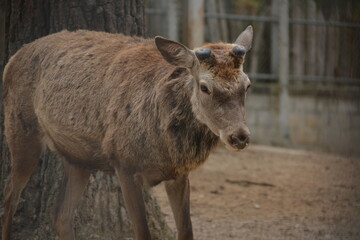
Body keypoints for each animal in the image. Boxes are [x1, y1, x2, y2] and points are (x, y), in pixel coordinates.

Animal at [1, 25, 253, 239]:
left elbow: (186, 232)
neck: (165, 146)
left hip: (78, 158)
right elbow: (142, 232)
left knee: (60, 214)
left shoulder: (179, 174)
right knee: (9, 197)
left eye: (247, 85)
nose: (239, 136)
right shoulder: (124, 164)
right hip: (22, 132)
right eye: (204, 87)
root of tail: (11, 61)